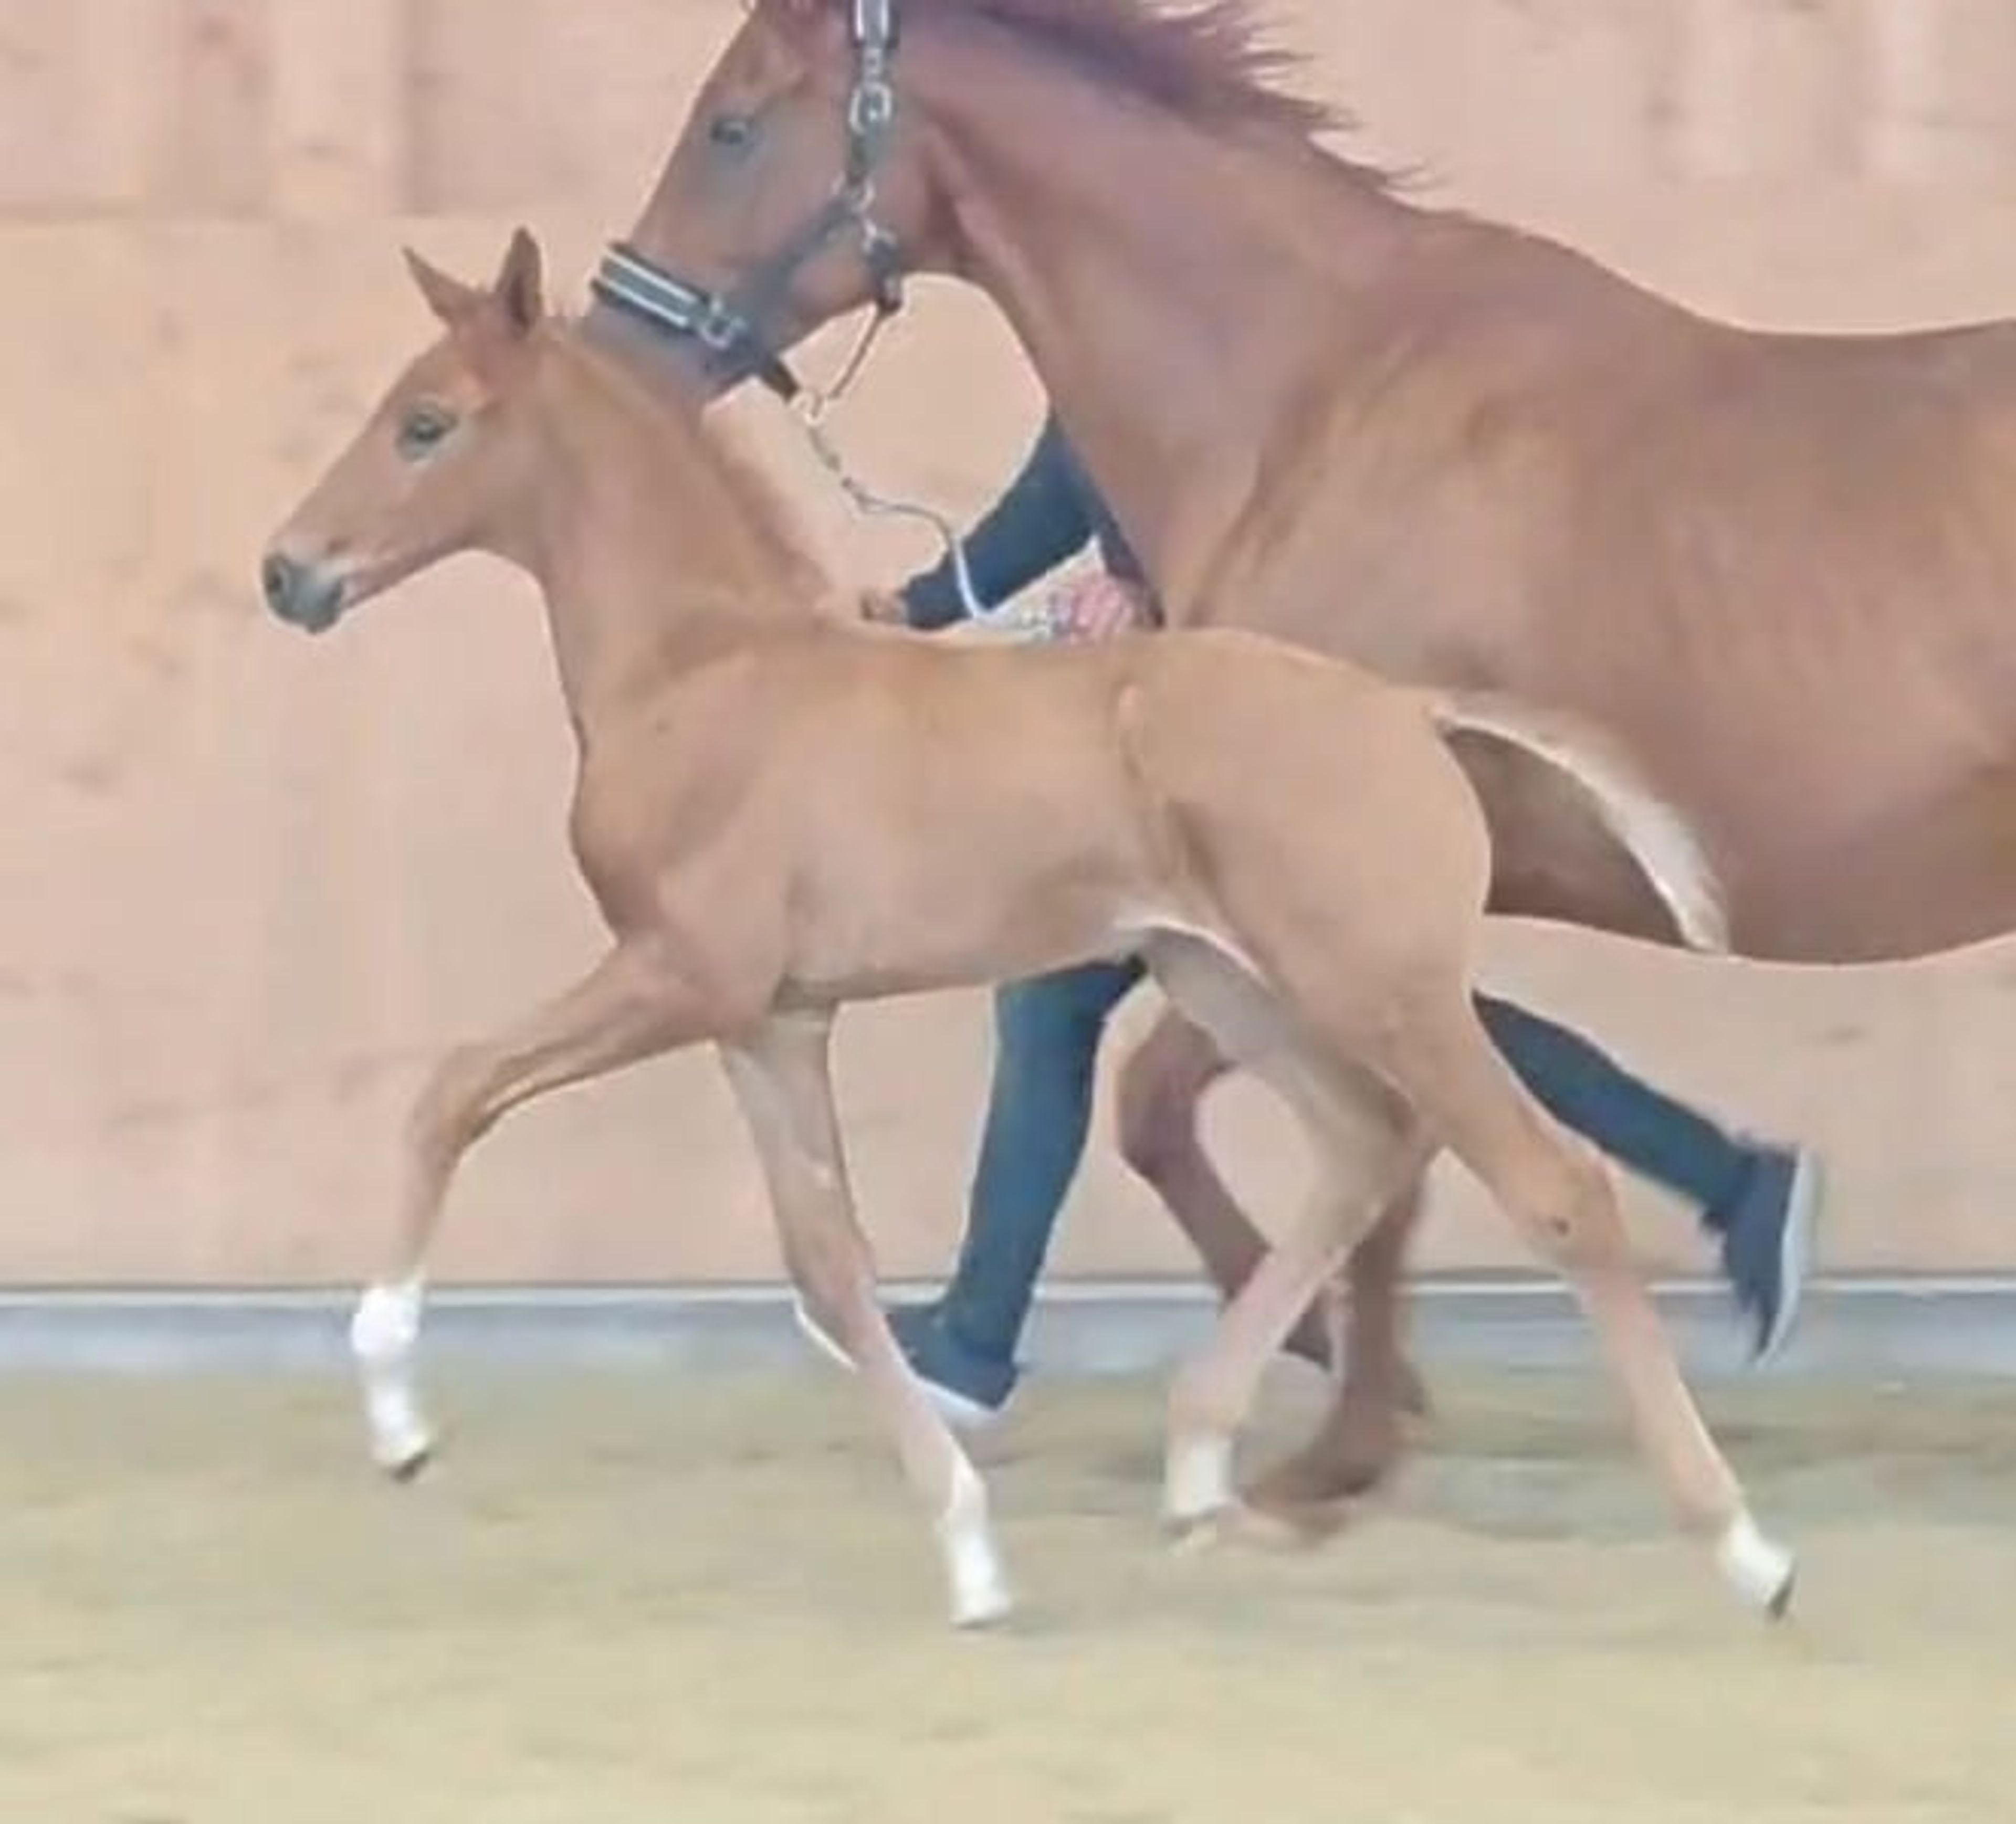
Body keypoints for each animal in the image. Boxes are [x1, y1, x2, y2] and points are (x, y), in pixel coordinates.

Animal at [258, 228, 1795, 1630]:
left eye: (426, 422)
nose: (289, 573)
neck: (706, 673)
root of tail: (1409, 712)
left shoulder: (680, 975)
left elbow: (453, 1089)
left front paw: (397, 1413)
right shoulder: (772, 1017)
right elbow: (828, 1259)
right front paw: (973, 1558)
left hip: (1374, 986)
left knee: (1553, 1185)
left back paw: (1745, 1550)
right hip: (1232, 979)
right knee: (1366, 1146)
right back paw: (1198, 1470)